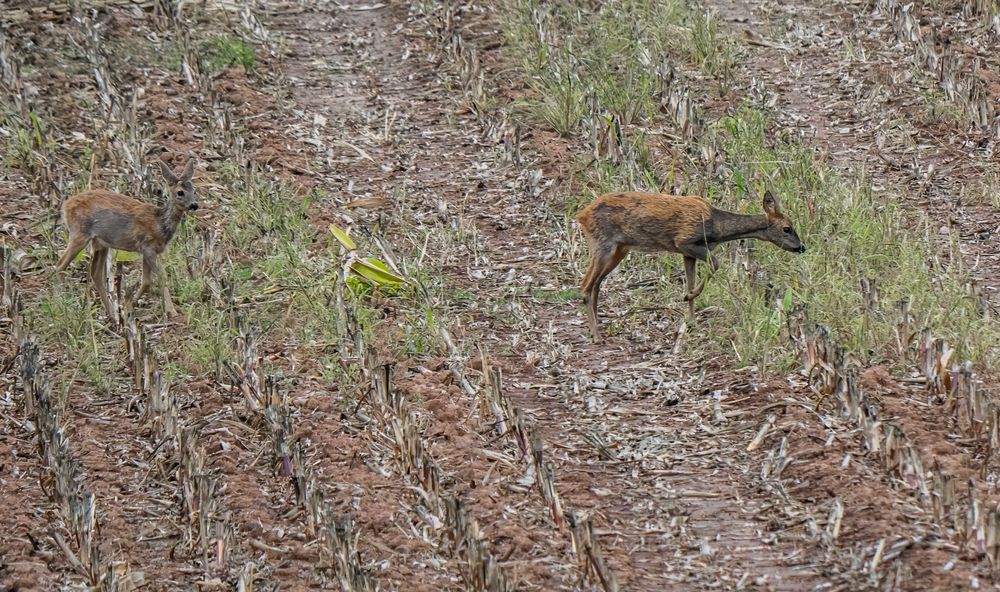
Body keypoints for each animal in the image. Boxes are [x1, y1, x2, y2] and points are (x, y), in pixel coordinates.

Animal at [54, 156, 199, 324]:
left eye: (194, 190)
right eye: (180, 192)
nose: (194, 205)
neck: (159, 223)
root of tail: (65, 206)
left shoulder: (147, 251)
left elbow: (146, 281)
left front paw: (130, 304)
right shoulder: (148, 248)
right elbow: (162, 276)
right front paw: (173, 312)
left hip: (100, 243)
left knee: (96, 273)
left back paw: (112, 314)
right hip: (79, 233)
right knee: (60, 265)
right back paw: (61, 301)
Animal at [580, 190, 804, 340]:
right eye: (787, 228)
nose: (802, 247)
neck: (716, 228)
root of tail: (581, 215)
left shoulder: (687, 254)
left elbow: (690, 281)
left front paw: (692, 320)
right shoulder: (685, 241)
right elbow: (715, 264)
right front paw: (688, 299)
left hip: (620, 249)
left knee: (596, 283)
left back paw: (597, 327)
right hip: (603, 244)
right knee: (585, 286)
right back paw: (596, 335)